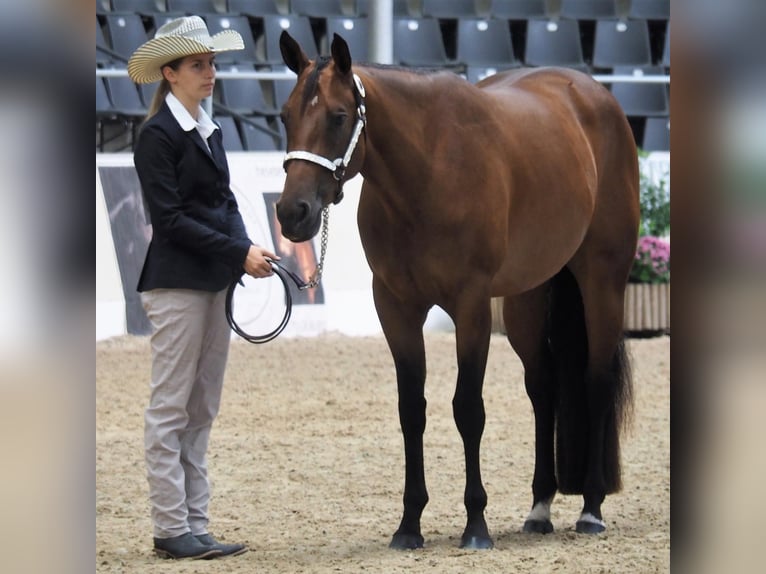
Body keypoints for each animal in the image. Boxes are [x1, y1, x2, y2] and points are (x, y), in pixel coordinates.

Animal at [276, 30, 640, 548]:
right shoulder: (396, 307)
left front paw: (476, 524)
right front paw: (409, 525)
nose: (293, 213)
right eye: (285, 115)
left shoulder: (470, 306)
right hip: (527, 298)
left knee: (596, 380)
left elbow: (468, 409)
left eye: (339, 116)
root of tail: (597, 97)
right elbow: (412, 410)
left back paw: (591, 508)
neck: (428, 169)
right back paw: (540, 507)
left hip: (601, 280)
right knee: (543, 386)